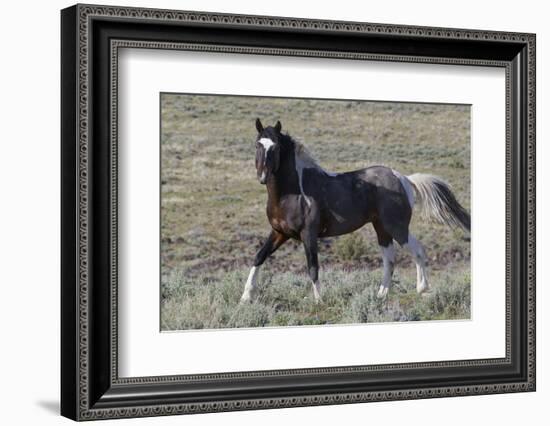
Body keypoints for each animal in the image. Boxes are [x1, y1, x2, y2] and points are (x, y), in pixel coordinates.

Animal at [239, 117, 472, 302]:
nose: (262, 176)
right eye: (257, 145)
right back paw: (380, 295)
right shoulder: (279, 232)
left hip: (397, 227)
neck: (292, 193)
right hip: (381, 228)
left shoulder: (309, 234)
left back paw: (422, 289)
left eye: (276, 147)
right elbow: (259, 257)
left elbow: (313, 267)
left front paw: (319, 301)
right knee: (389, 260)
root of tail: (404, 179)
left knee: (417, 251)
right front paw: (245, 297)